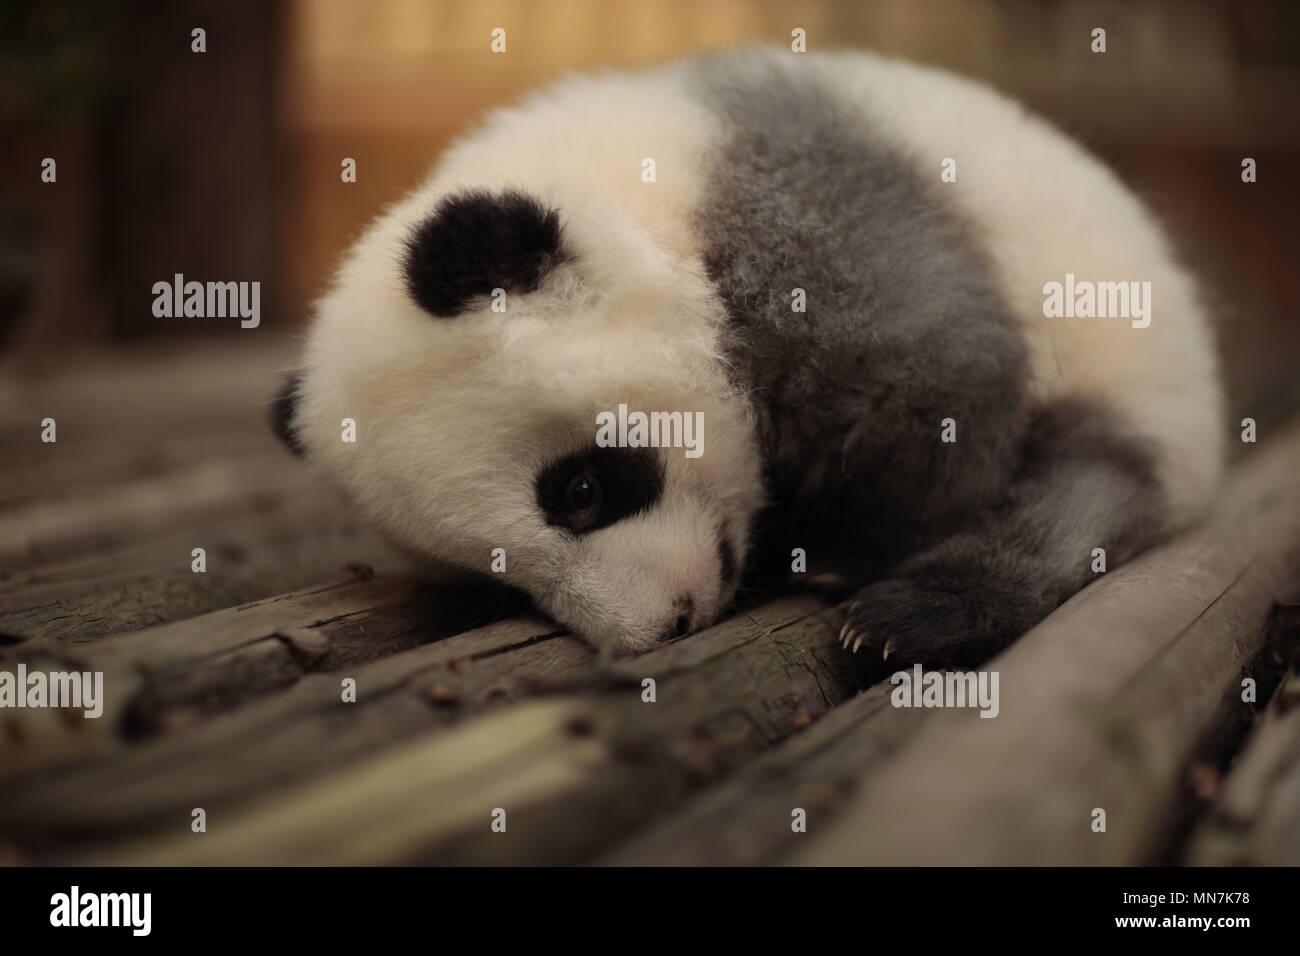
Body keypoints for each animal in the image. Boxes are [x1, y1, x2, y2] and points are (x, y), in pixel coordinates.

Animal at [272, 48, 1224, 666]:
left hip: (1124, 354)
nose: (665, 627)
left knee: (1083, 497)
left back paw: (919, 612)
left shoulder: (806, 215)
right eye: (497, 583)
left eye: (580, 491)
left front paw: (850, 554)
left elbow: (941, 385)